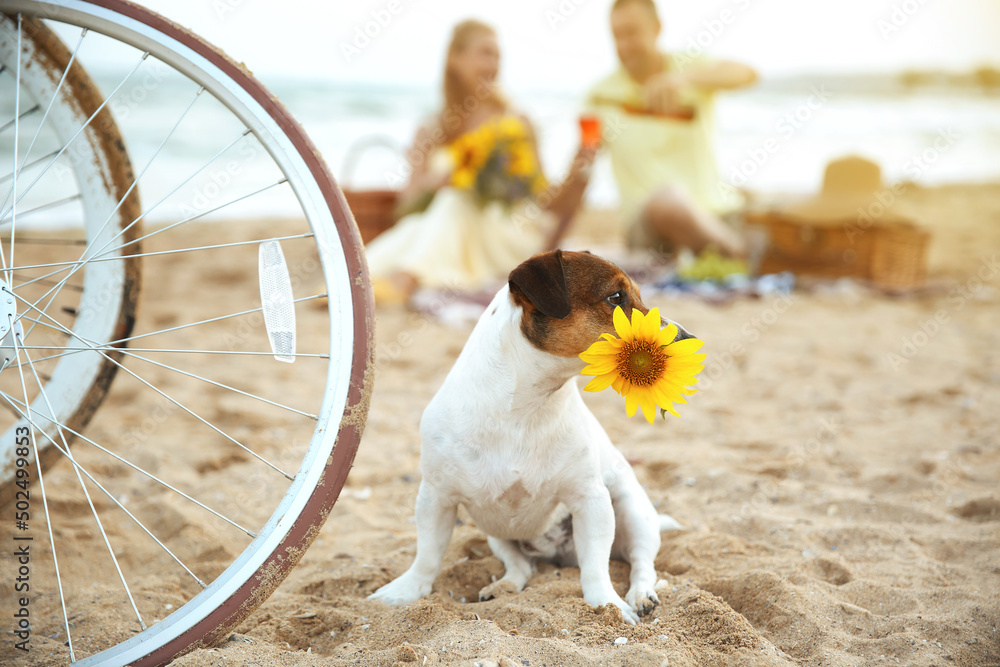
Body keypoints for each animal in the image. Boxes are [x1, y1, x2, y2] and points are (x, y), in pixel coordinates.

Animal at [370, 250, 696, 628]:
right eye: (616, 297)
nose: (689, 337)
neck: (526, 407)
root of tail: (559, 555)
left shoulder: (591, 499)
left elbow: (596, 568)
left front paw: (607, 605)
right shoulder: (436, 497)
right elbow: (427, 555)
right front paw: (406, 591)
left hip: (632, 512)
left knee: (642, 563)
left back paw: (641, 595)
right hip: (497, 535)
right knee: (521, 566)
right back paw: (504, 585)